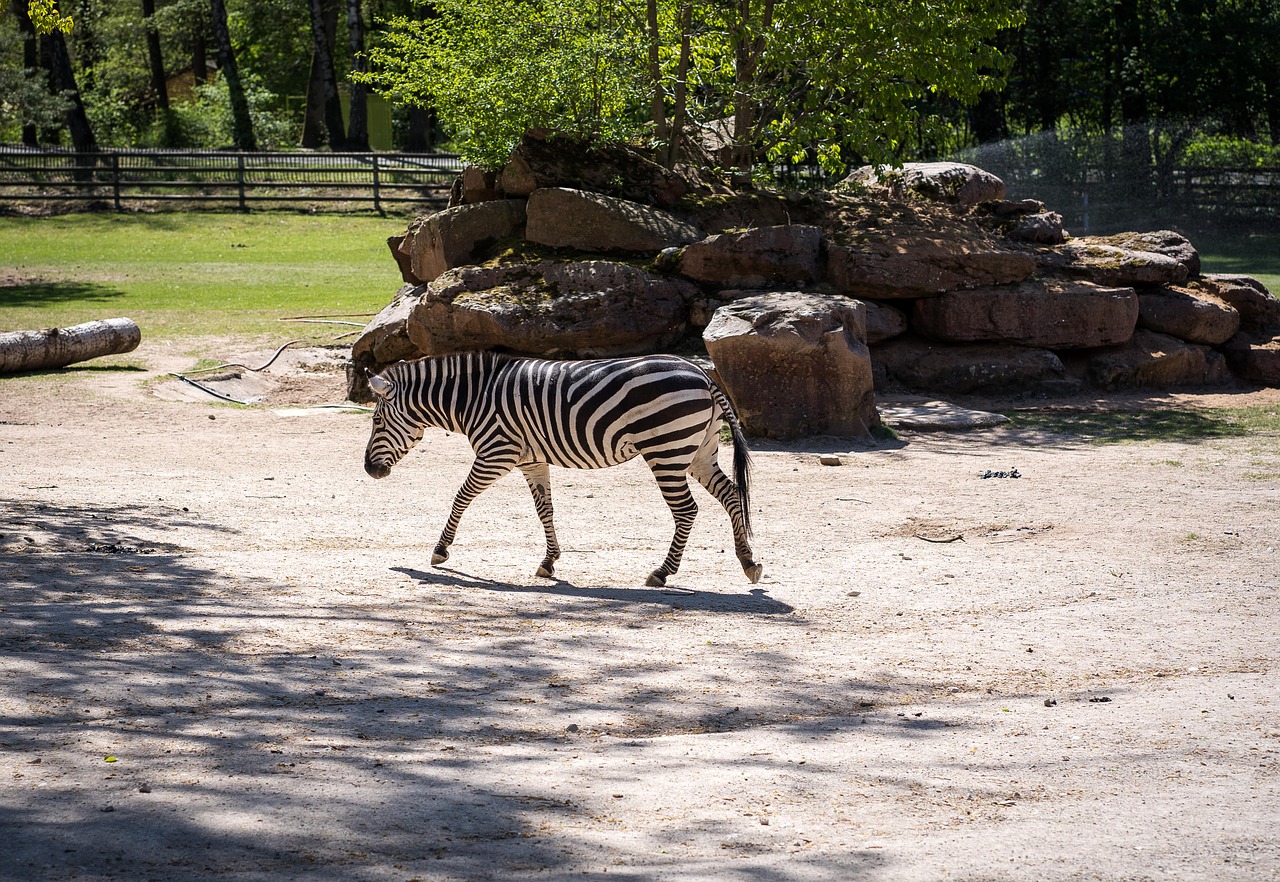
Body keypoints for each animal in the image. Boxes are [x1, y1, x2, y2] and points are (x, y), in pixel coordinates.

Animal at [363, 348, 757, 583]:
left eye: (377, 421)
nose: (369, 470)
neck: (473, 397)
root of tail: (701, 373)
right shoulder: (532, 459)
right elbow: (545, 510)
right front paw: (549, 561)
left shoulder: (497, 453)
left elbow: (461, 497)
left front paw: (440, 550)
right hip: (698, 452)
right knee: (731, 494)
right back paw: (748, 561)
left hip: (667, 450)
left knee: (686, 510)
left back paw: (662, 572)